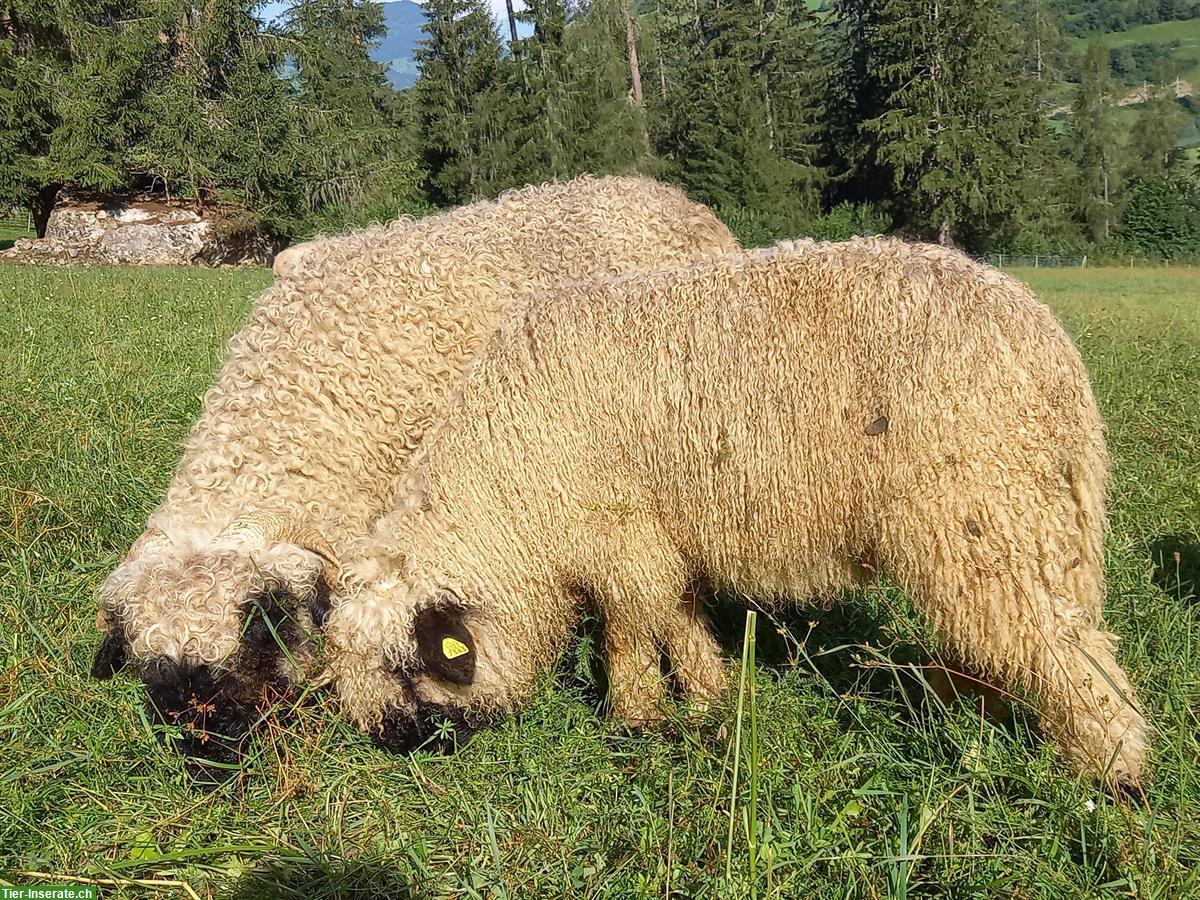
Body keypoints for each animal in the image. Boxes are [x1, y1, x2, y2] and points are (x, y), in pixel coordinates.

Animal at [326, 237, 1142, 787]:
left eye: (410, 672)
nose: (417, 756)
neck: (505, 489)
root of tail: (1049, 346)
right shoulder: (664, 534)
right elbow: (681, 615)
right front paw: (710, 698)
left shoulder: (621, 530)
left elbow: (630, 626)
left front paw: (637, 718)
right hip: (1026, 519)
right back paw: (966, 716)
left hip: (983, 510)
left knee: (1064, 646)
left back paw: (1112, 770)